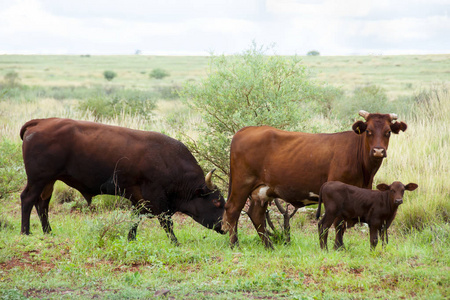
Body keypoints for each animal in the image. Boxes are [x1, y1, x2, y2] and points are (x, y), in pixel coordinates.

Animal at [20, 118, 225, 243]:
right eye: (216, 202)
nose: (226, 226)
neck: (168, 160)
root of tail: (41, 122)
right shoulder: (156, 199)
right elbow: (166, 222)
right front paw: (175, 242)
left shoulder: (138, 199)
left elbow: (135, 219)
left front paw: (130, 238)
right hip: (38, 180)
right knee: (27, 199)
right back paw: (25, 232)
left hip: (48, 181)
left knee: (42, 204)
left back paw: (48, 232)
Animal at [222, 110, 408, 248]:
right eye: (368, 131)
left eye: (388, 132)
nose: (378, 151)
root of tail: (247, 129)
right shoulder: (339, 192)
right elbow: (339, 223)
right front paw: (338, 247)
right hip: (242, 183)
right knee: (233, 210)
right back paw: (235, 245)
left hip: (263, 190)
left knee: (256, 215)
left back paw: (269, 246)